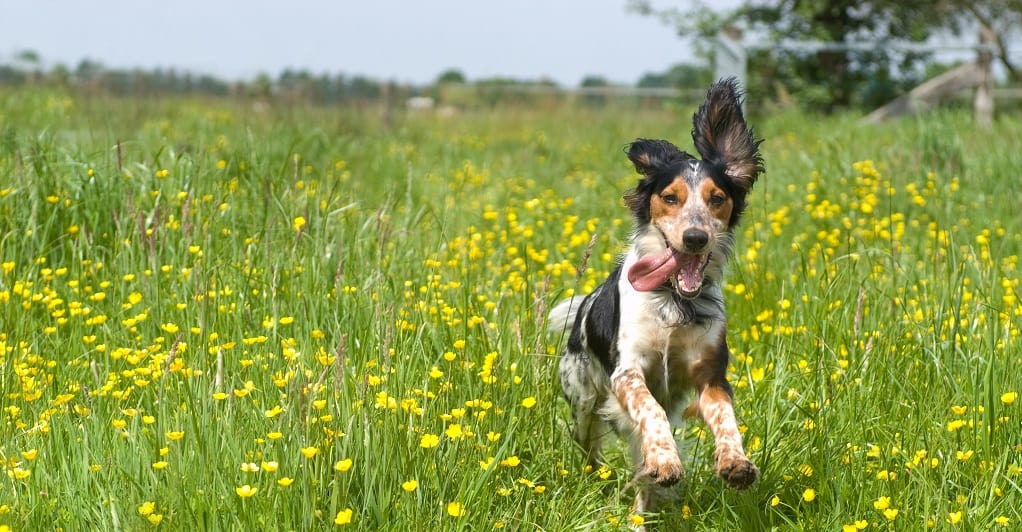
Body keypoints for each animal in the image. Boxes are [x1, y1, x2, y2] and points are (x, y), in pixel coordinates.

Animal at [547, 76, 764, 512]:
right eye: (670, 197)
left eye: (717, 198)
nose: (695, 237)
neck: (673, 302)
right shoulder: (627, 372)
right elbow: (650, 410)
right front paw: (666, 460)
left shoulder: (711, 373)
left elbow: (725, 417)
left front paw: (735, 462)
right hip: (582, 397)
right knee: (590, 443)